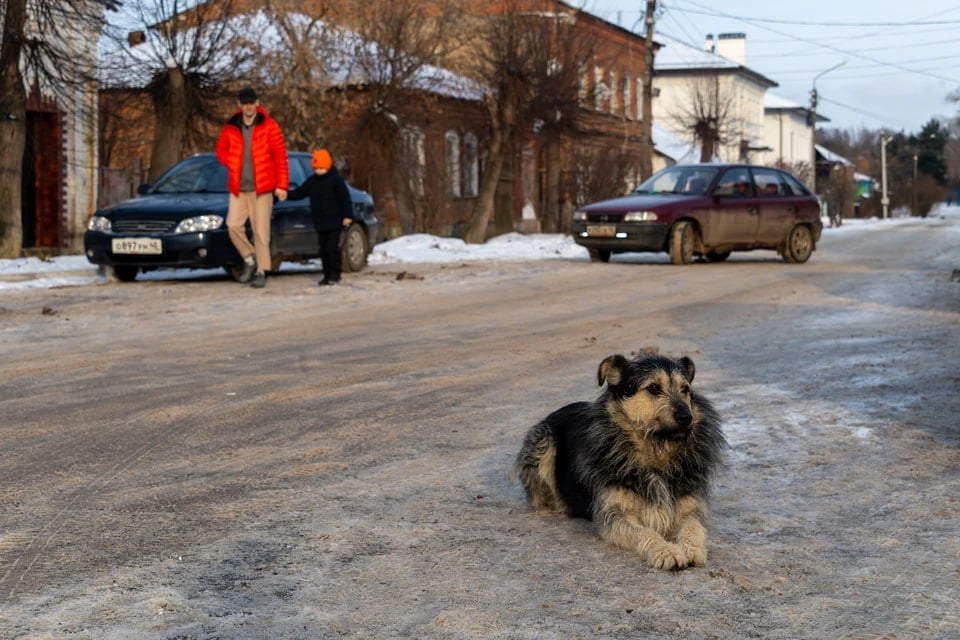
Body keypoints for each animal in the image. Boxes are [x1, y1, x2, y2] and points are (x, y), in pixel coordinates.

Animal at [520, 356, 724, 568]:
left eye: (685, 389)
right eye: (653, 388)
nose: (686, 418)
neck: (656, 455)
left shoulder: (689, 508)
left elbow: (694, 527)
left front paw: (692, 549)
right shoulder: (615, 513)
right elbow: (644, 532)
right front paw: (666, 551)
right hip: (542, 441)